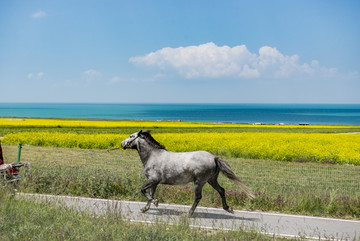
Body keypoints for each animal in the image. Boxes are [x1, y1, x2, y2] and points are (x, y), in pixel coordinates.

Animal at [120, 131, 253, 216]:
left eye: (131, 136)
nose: (122, 143)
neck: (153, 156)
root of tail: (214, 158)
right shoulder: (154, 182)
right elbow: (150, 194)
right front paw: (145, 208)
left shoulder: (153, 180)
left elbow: (143, 190)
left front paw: (155, 202)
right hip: (211, 180)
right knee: (221, 190)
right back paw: (228, 208)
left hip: (199, 181)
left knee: (198, 197)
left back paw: (189, 213)